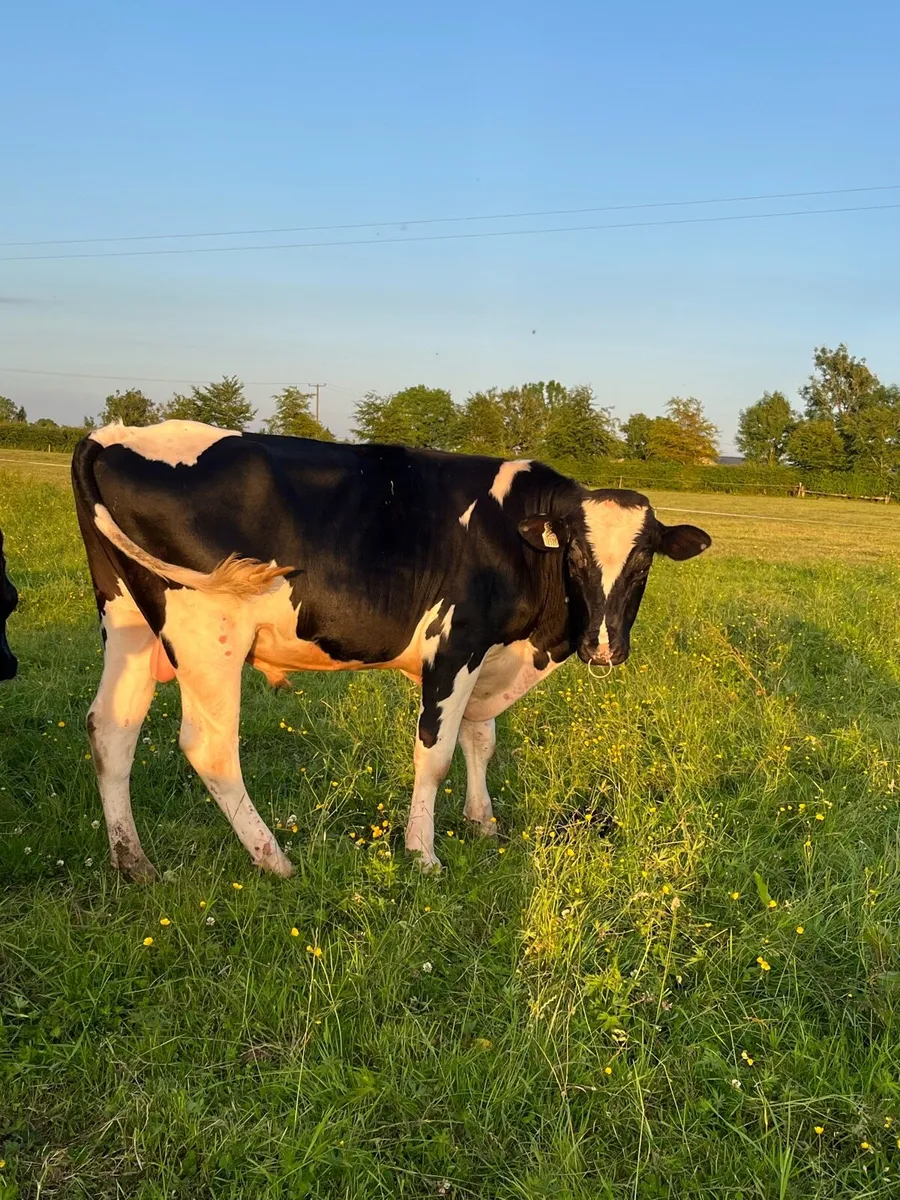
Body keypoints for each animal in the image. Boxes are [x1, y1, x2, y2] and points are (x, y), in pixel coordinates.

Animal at [71, 420, 710, 879]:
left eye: (644, 561)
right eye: (575, 553)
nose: (603, 647)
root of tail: (114, 434)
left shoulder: (487, 654)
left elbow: (482, 739)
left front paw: (482, 821)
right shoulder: (455, 645)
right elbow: (436, 754)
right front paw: (423, 853)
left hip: (128, 619)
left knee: (111, 727)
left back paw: (133, 863)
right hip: (209, 633)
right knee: (209, 748)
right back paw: (274, 859)